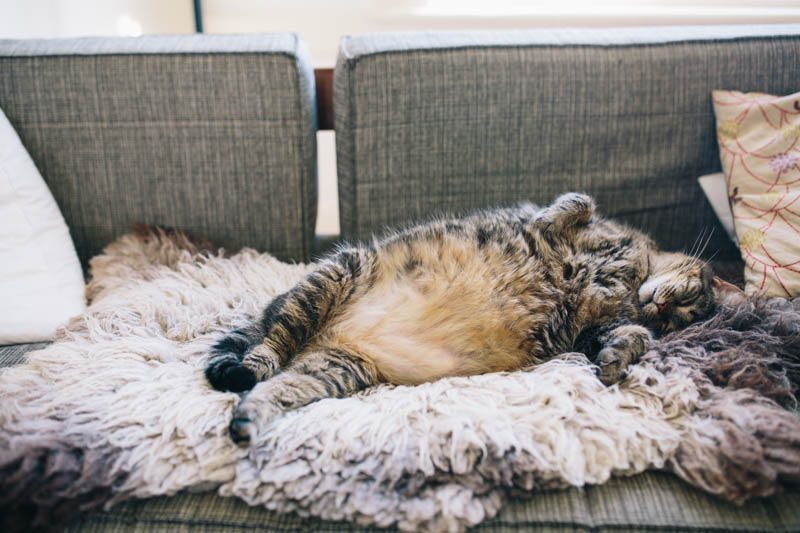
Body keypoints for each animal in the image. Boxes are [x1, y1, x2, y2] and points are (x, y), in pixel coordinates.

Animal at [205, 192, 724, 444]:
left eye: (682, 317)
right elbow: (574, 204)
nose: (663, 309)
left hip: (336, 369)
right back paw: (253, 363)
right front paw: (553, 219)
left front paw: (619, 358)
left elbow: (629, 336)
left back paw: (248, 420)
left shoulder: (595, 328)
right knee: (272, 340)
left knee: (276, 388)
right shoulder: (572, 223)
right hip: (337, 273)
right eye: (689, 298)